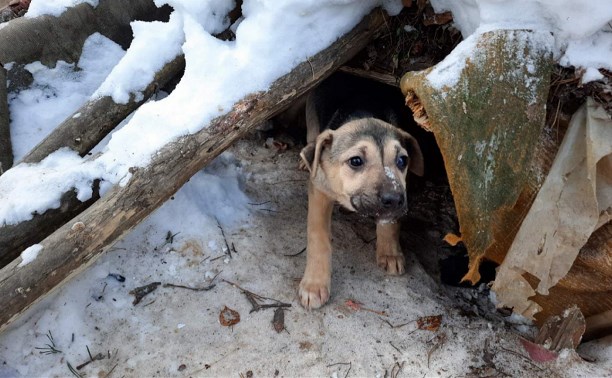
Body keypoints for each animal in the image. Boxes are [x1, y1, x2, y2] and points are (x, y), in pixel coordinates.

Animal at [298, 74, 424, 310]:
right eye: (356, 161)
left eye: (402, 161)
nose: (395, 200)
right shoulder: (320, 191)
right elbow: (318, 236)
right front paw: (314, 285)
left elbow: (390, 223)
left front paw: (390, 251)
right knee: (311, 141)